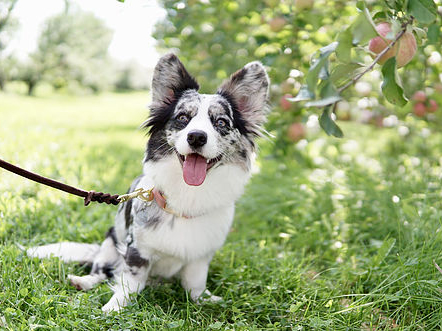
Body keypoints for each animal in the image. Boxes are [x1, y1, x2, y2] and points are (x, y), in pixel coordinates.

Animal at [27, 53, 272, 312]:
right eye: (182, 118)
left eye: (221, 123)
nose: (196, 136)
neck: (188, 195)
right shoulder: (136, 250)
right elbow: (129, 283)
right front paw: (114, 308)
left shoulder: (200, 256)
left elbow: (195, 283)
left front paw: (204, 300)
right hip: (109, 242)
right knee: (102, 271)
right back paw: (82, 281)